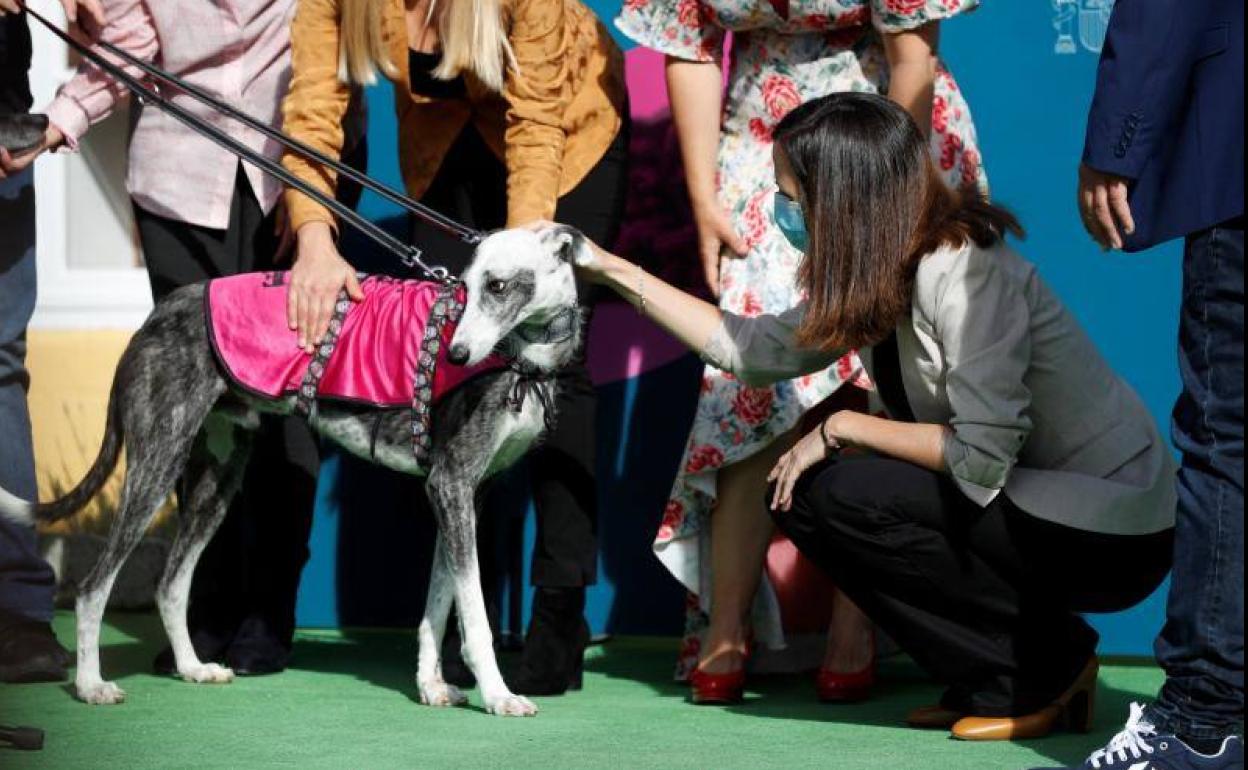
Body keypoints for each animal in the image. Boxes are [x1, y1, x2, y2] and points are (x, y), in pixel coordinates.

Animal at [0, 223, 594, 713]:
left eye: (500, 286)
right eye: (469, 288)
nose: (457, 356)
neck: (522, 361)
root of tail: (160, 311)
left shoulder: (463, 493)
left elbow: (438, 603)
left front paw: (431, 687)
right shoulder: (451, 486)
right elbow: (473, 617)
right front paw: (497, 695)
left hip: (218, 478)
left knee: (171, 583)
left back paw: (192, 668)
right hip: (156, 461)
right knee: (92, 587)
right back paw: (90, 685)